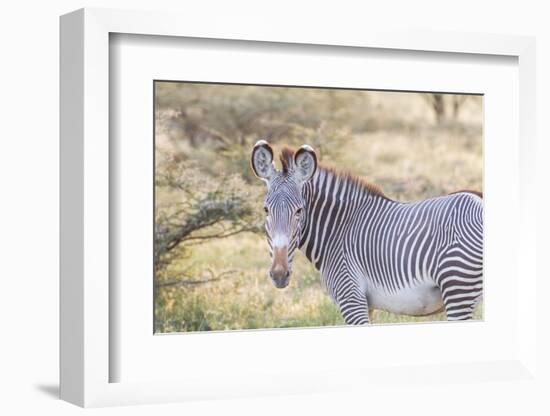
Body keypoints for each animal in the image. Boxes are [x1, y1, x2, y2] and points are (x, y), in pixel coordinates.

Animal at [252, 140, 486, 324]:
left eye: (299, 210)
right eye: (266, 210)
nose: (279, 275)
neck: (337, 230)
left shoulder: (350, 297)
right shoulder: (367, 304)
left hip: (458, 287)